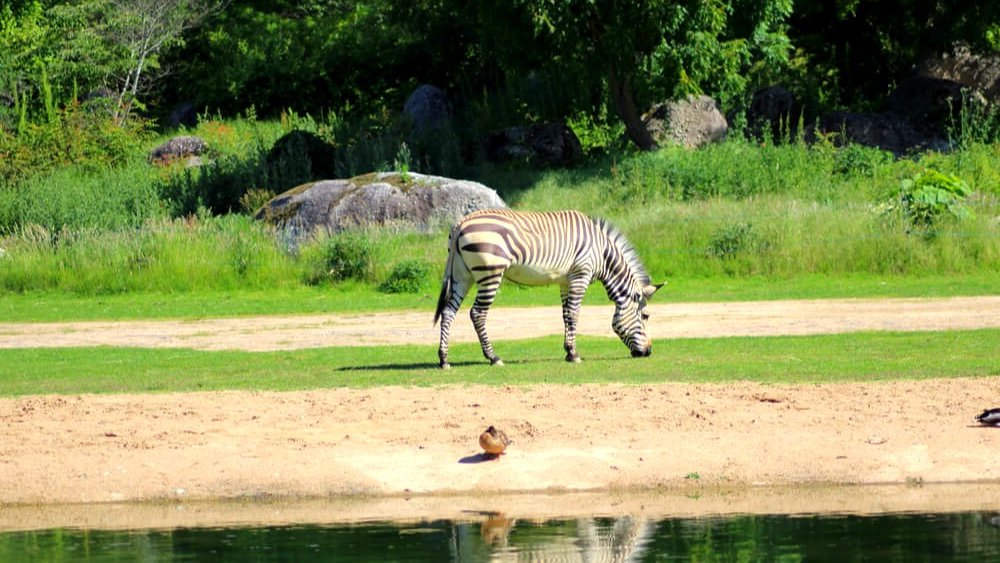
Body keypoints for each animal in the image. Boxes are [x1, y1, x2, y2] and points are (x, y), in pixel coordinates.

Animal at [432, 209, 660, 368]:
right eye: (646, 316)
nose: (648, 351)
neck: (602, 253)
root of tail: (461, 223)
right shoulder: (581, 275)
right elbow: (574, 314)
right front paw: (574, 354)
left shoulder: (565, 281)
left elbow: (566, 315)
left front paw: (568, 352)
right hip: (490, 273)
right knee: (477, 313)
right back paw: (493, 357)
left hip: (462, 276)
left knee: (448, 311)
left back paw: (444, 359)